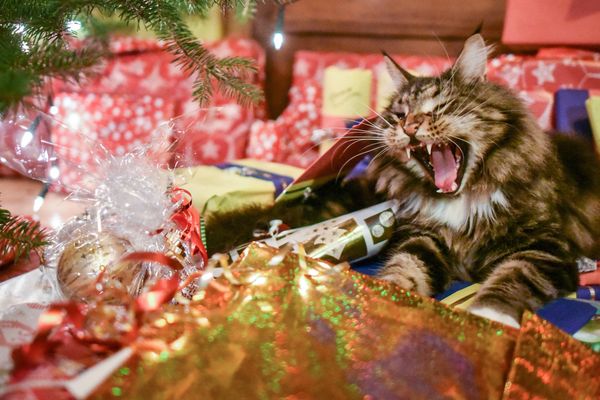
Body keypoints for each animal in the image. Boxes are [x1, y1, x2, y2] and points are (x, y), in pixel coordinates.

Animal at [372, 33, 596, 328]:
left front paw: (488, 317)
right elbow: (403, 269)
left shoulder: (544, 249)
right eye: (399, 116)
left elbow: (512, 278)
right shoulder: (423, 239)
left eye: (439, 108)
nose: (408, 127)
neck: (461, 201)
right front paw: (379, 297)